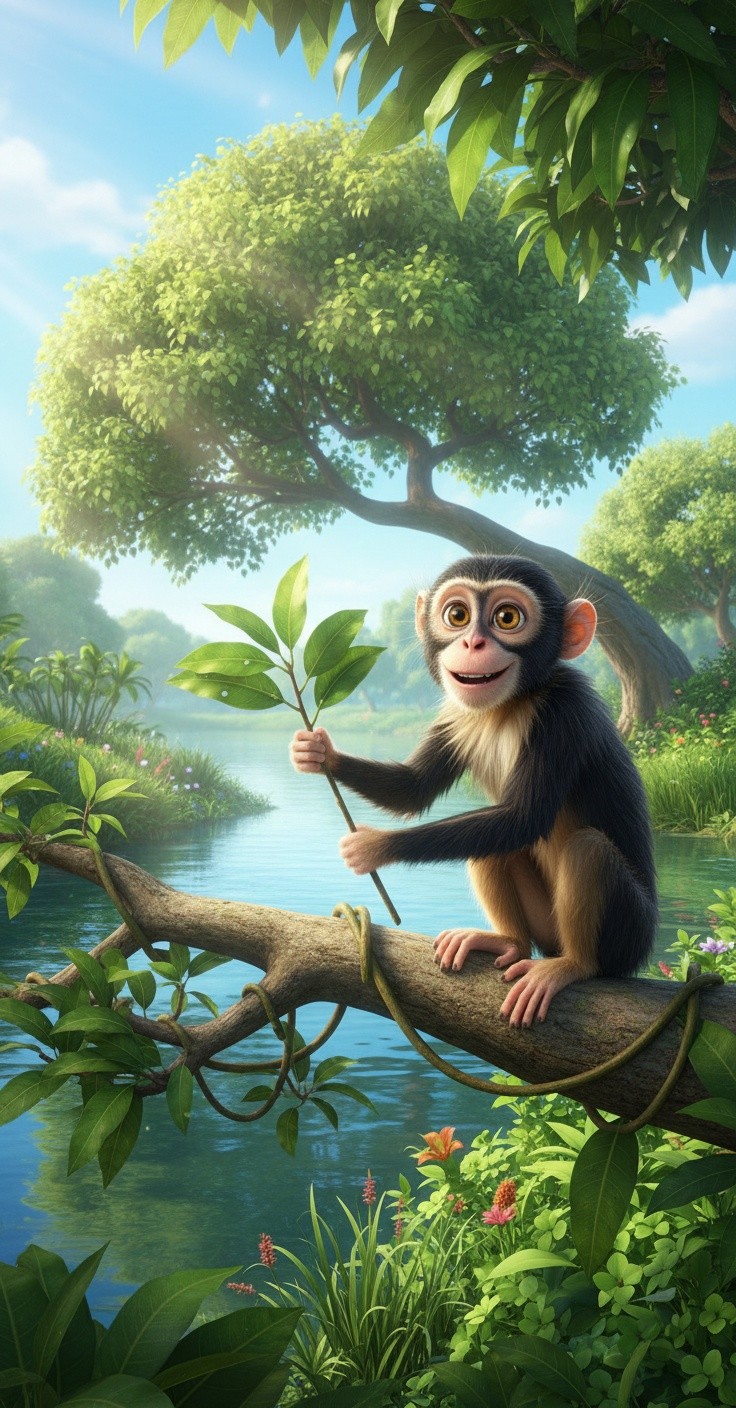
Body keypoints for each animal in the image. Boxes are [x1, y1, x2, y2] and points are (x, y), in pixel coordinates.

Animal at [290, 555, 657, 1027]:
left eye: (507, 618)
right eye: (457, 615)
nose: (473, 643)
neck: (512, 704)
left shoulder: (566, 712)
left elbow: (524, 817)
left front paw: (374, 847)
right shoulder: (455, 713)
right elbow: (414, 789)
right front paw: (319, 752)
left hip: (629, 936)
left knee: (587, 849)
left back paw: (572, 965)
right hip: (545, 925)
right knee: (491, 844)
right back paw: (508, 942)